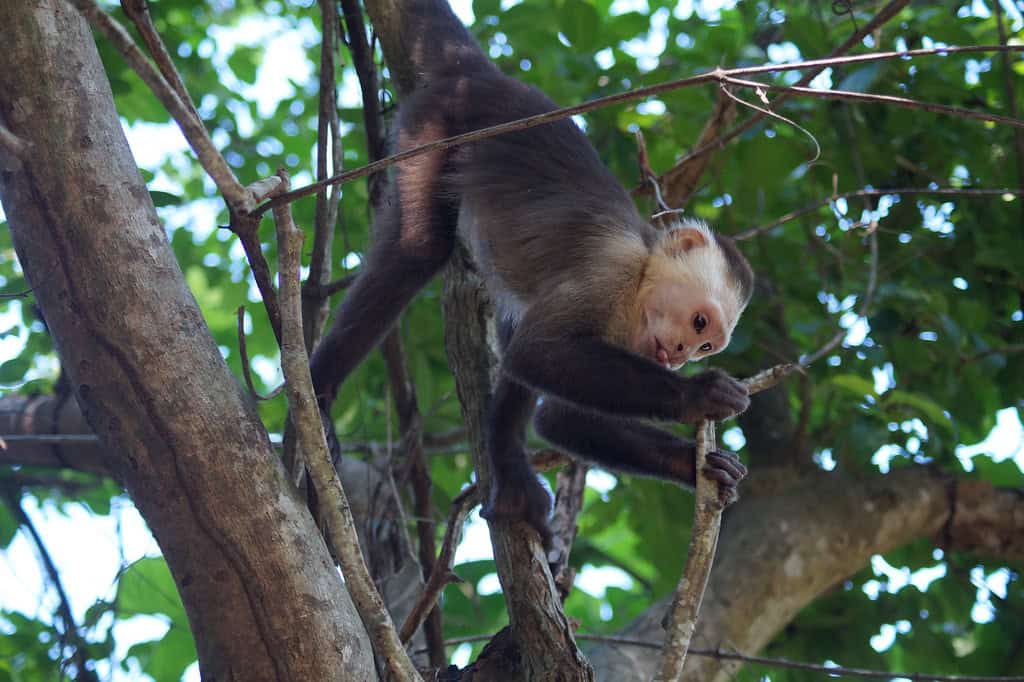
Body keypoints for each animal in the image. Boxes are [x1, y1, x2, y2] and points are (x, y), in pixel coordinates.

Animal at [310, 0, 755, 549]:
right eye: (698, 324)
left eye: (705, 344)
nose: (678, 356)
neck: (638, 283)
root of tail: (484, 77)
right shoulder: (609, 269)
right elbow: (537, 354)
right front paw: (698, 396)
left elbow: (558, 414)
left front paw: (697, 466)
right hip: (433, 125)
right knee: (417, 250)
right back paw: (317, 392)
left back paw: (509, 470)